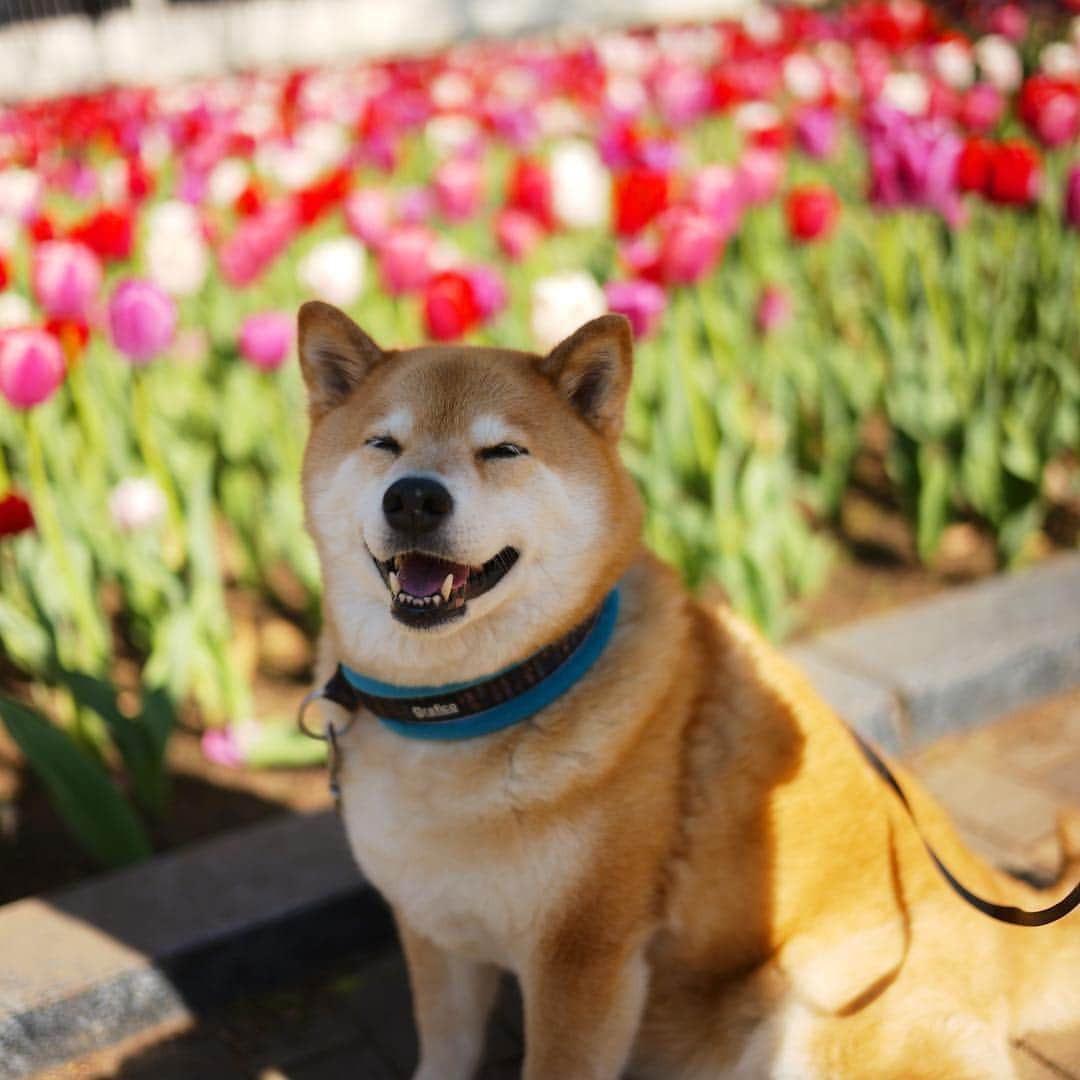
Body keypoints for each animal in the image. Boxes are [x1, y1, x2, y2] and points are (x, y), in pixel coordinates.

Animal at [300, 298, 1080, 1080]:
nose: (414, 498)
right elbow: (445, 1046)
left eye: (503, 452)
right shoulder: (435, 929)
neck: (463, 709)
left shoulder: (583, 960)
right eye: (384, 443)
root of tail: (995, 912)